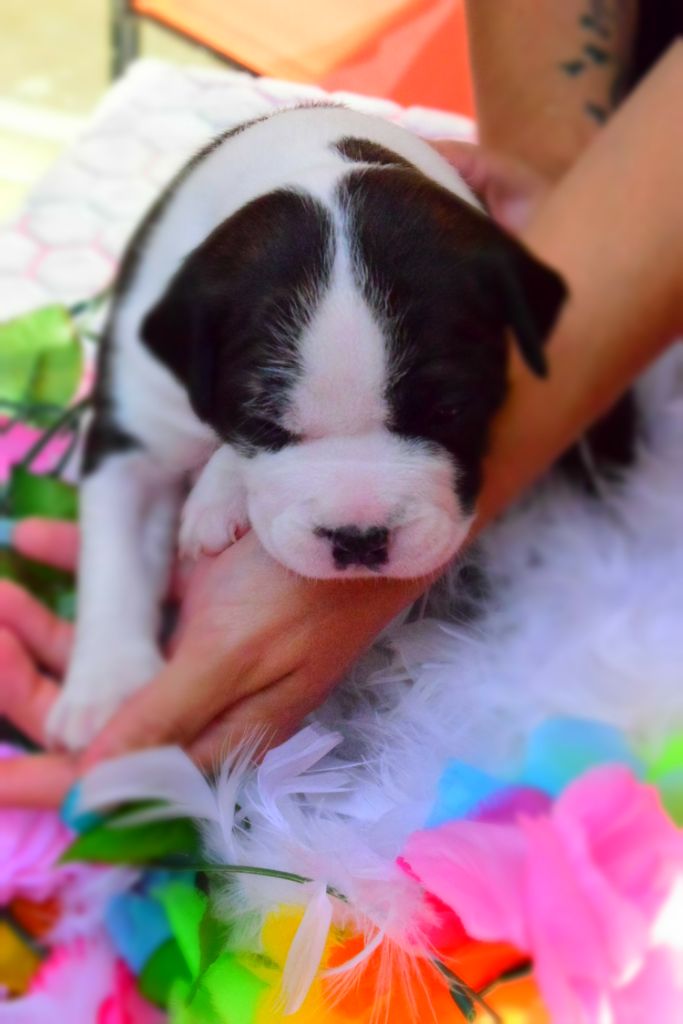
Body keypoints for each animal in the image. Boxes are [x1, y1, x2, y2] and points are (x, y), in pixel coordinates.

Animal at [48, 105, 567, 750]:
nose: (360, 538)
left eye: (449, 411)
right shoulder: (134, 432)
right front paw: (108, 690)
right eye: (263, 421)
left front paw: (217, 494)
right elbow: (116, 555)